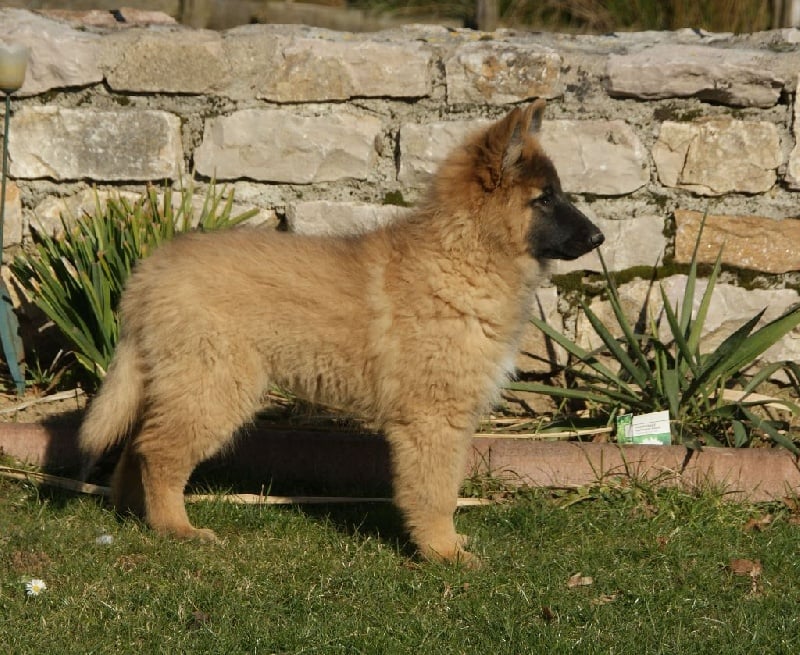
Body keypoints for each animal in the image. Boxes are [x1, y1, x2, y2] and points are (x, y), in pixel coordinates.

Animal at [79, 100, 604, 565]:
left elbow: (447, 485)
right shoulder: (433, 418)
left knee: (136, 443)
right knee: (158, 452)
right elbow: (436, 492)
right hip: (214, 384)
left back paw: (135, 515)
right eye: (545, 199)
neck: (464, 252)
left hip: (177, 378)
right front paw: (444, 553)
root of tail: (150, 270)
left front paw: (449, 545)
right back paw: (177, 528)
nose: (599, 238)